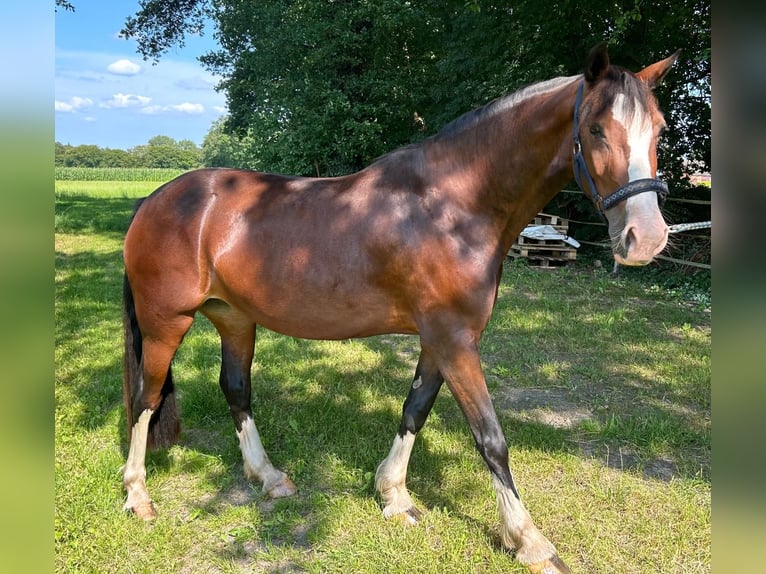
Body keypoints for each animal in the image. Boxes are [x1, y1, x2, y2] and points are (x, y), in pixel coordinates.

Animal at [123, 46, 680, 574]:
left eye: (659, 129)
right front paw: (530, 542)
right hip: (166, 324)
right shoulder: (455, 341)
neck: (453, 206)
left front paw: (394, 495)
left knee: (236, 390)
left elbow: (415, 410)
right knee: (146, 397)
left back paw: (269, 476)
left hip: (235, 319)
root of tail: (155, 199)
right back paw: (138, 496)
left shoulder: (441, 340)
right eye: (596, 128)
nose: (647, 238)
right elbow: (490, 438)